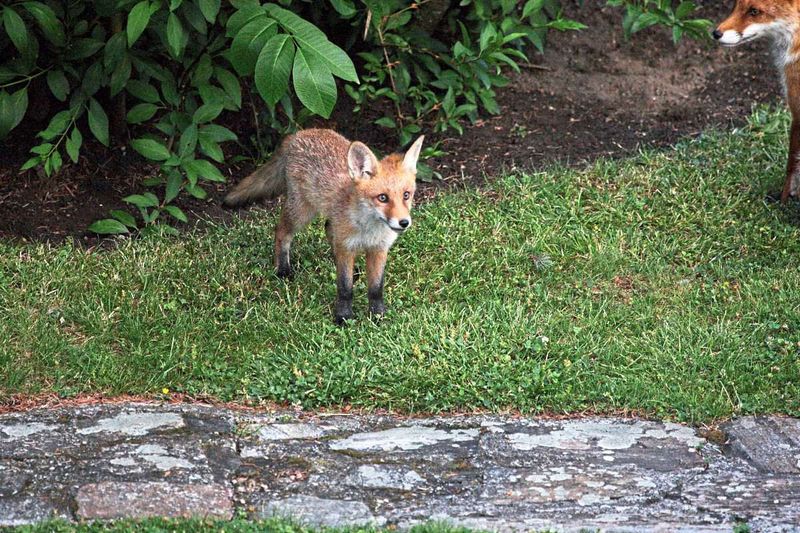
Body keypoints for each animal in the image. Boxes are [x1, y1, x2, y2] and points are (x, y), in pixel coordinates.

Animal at [225, 129, 424, 324]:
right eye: (382, 198)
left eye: (406, 195)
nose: (404, 222)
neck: (370, 231)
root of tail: (298, 133)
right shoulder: (346, 247)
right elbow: (345, 288)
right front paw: (343, 317)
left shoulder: (379, 249)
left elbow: (376, 288)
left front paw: (377, 316)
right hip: (302, 212)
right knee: (281, 232)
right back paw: (283, 270)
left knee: (328, 227)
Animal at [716, 0, 800, 200]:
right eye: (736, 5)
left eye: (754, 11)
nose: (715, 33)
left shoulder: (796, 110)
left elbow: (791, 165)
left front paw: (783, 199)